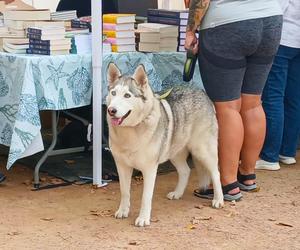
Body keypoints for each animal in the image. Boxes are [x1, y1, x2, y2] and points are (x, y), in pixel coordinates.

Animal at [106, 63, 224, 227]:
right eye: (113, 93)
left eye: (127, 95)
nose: (111, 110)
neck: (132, 130)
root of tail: (202, 92)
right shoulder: (122, 167)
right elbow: (124, 192)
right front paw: (123, 211)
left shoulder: (150, 169)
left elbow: (146, 197)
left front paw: (143, 219)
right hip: (175, 154)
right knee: (185, 171)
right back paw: (177, 193)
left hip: (202, 151)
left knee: (216, 173)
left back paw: (218, 200)